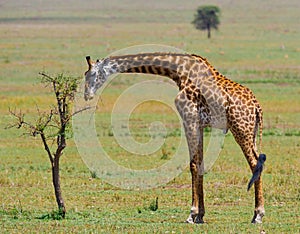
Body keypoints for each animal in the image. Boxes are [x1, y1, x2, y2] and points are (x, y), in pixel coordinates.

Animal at [83, 52, 266, 224]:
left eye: (90, 74)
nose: (87, 95)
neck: (178, 70)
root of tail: (257, 107)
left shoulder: (189, 118)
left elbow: (193, 165)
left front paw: (192, 214)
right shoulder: (199, 124)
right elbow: (200, 163)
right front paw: (200, 215)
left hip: (241, 129)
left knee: (255, 163)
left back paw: (258, 215)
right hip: (251, 132)